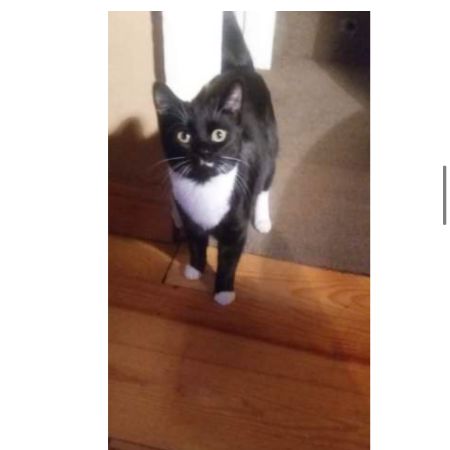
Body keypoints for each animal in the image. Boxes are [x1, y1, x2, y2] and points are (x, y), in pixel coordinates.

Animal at [153, 11, 278, 305]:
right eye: (184, 136)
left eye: (219, 134)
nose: (205, 151)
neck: (204, 186)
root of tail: (241, 69)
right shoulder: (191, 221)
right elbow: (196, 245)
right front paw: (194, 269)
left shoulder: (235, 229)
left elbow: (228, 260)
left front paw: (223, 292)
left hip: (271, 145)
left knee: (266, 182)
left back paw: (263, 218)